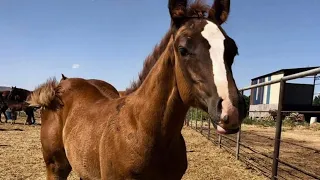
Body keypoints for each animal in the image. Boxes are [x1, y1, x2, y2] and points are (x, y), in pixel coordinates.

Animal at [28, 0, 246, 179]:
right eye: (183, 50)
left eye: (233, 50)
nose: (231, 109)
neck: (143, 129)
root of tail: (60, 85)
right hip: (56, 167)